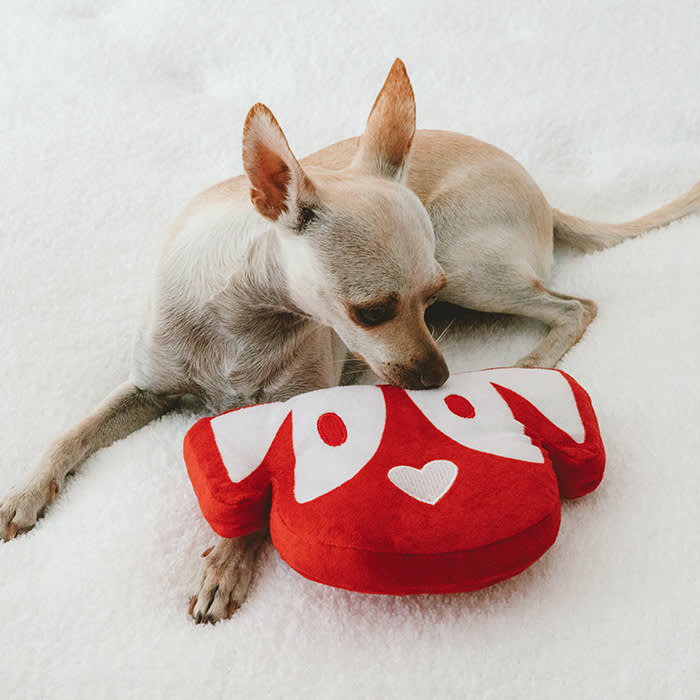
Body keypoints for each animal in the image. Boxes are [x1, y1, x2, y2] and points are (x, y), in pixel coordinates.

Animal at [1, 57, 700, 620]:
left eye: (428, 298)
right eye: (372, 313)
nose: (440, 378)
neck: (244, 320)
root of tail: (543, 196)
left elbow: (256, 503)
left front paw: (226, 562)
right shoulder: (146, 388)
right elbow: (71, 435)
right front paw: (26, 493)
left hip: (470, 266)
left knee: (575, 306)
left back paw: (531, 363)